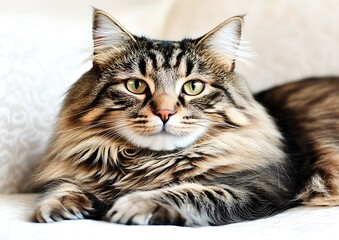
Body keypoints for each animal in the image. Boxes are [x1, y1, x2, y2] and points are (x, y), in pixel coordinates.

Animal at [30, 9, 338, 226]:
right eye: (136, 85)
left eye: (193, 87)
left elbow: (190, 191)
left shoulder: (262, 188)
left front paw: (131, 203)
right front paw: (58, 205)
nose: (165, 112)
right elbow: (64, 186)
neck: (147, 163)